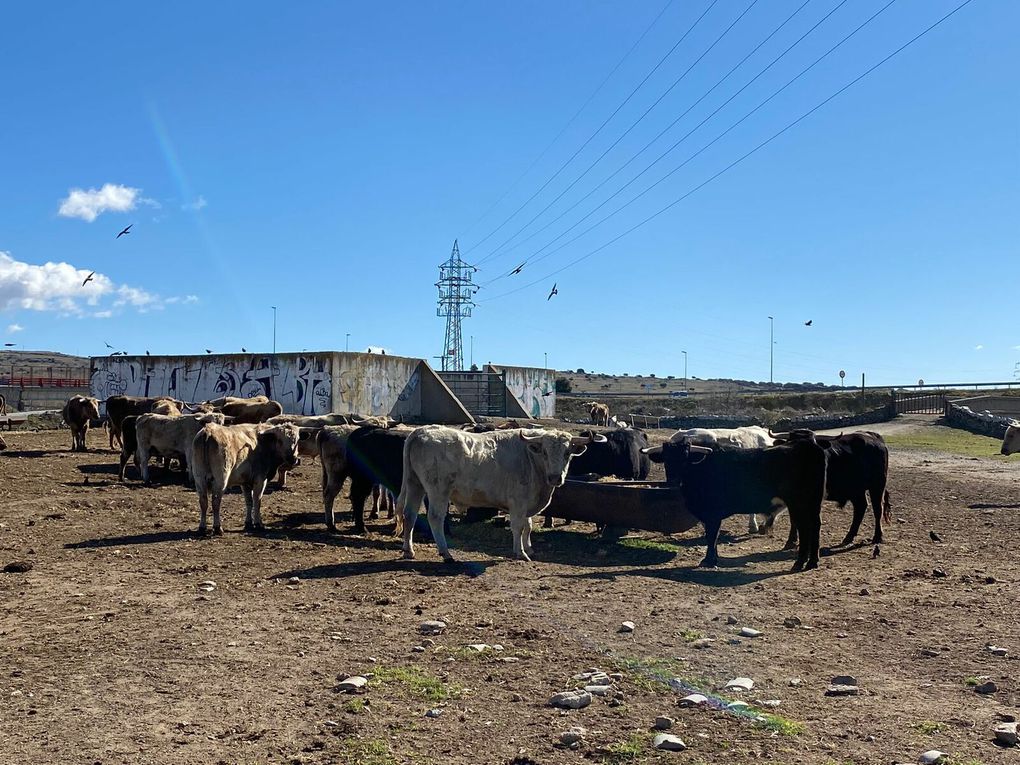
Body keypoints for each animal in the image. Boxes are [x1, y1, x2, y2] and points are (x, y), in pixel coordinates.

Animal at [395, 426, 603, 563]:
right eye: (544, 452)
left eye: (568, 452)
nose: (555, 477)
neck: (530, 459)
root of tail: (421, 431)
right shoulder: (518, 503)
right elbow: (518, 527)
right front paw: (520, 552)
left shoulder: (526, 504)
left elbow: (528, 526)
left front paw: (529, 548)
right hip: (438, 492)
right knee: (435, 518)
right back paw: (446, 553)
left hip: (415, 485)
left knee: (410, 514)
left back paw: (408, 550)